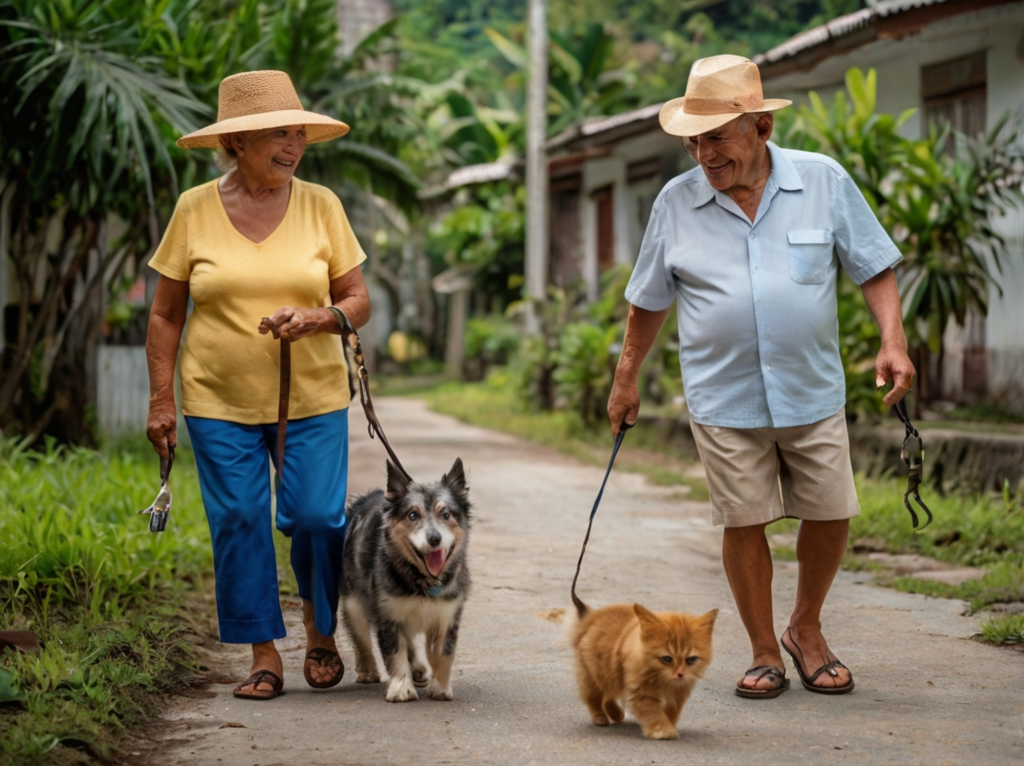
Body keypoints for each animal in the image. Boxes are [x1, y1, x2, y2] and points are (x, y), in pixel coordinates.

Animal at [342, 458, 473, 704]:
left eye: (446, 514)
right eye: (413, 515)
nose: (434, 539)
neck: (423, 579)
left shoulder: (447, 614)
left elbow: (443, 653)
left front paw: (440, 687)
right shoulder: (388, 614)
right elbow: (395, 652)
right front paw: (402, 687)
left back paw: (419, 668)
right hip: (353, 600)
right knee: (360, 636)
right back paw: (367, 669)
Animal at [573, 602, 716, 737]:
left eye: (691, 659)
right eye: (667, 658)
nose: (680, 673)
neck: (664, 681)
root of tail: (591, 618)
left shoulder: (679, 693)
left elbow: (672, 711)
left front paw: (669, 724)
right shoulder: (641, 692)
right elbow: (653, 711)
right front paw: (662, 730)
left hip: (609, 674)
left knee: (608, 696)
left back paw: (616, 714)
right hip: (592, 675)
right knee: (593, 698)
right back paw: (600, 717)